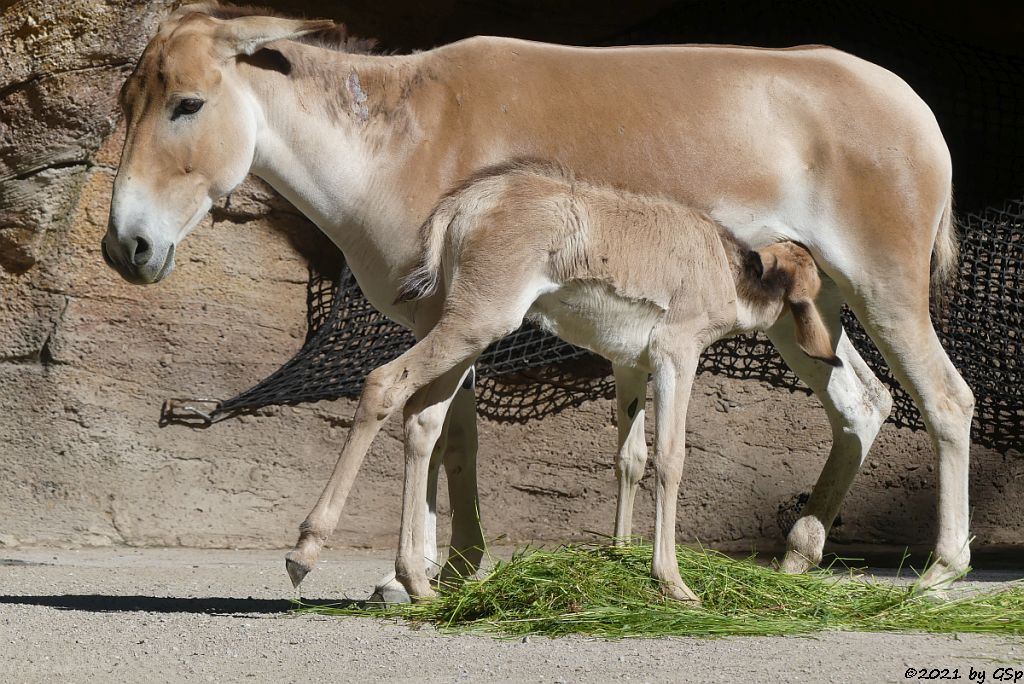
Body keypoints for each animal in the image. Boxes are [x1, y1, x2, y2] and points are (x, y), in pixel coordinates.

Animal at [282, 161, 839, 602]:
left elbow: (631, 459)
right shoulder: (676, 359)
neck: (725, 266)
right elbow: (671, 459)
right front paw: (674, 583)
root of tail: (468, 202)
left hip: (464, 337)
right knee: (383, 383)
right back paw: (305, 553)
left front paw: (621, 554)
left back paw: (417, 583)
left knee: (423, 420)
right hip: (473, 328)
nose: (833, 349)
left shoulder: (630, 367)